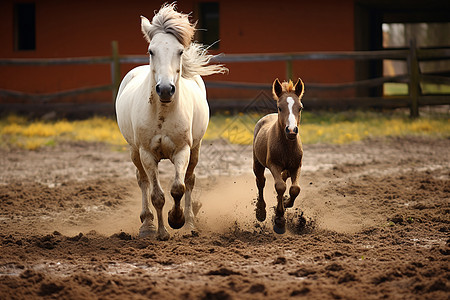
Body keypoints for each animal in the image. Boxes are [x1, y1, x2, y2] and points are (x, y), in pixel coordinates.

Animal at [115, 3, 225, 240]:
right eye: (151, 51)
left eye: (180, 51)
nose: (165, 89)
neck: (162, 114)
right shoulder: (146, 153)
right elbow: (157, 195)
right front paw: (161, 232)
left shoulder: (183, 150)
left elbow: (178, 188)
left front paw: (177, 220)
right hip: (134, 151)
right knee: (142, 181)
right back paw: (146, 224)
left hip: (196, 148)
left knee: (190, 181)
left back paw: (190, 223)